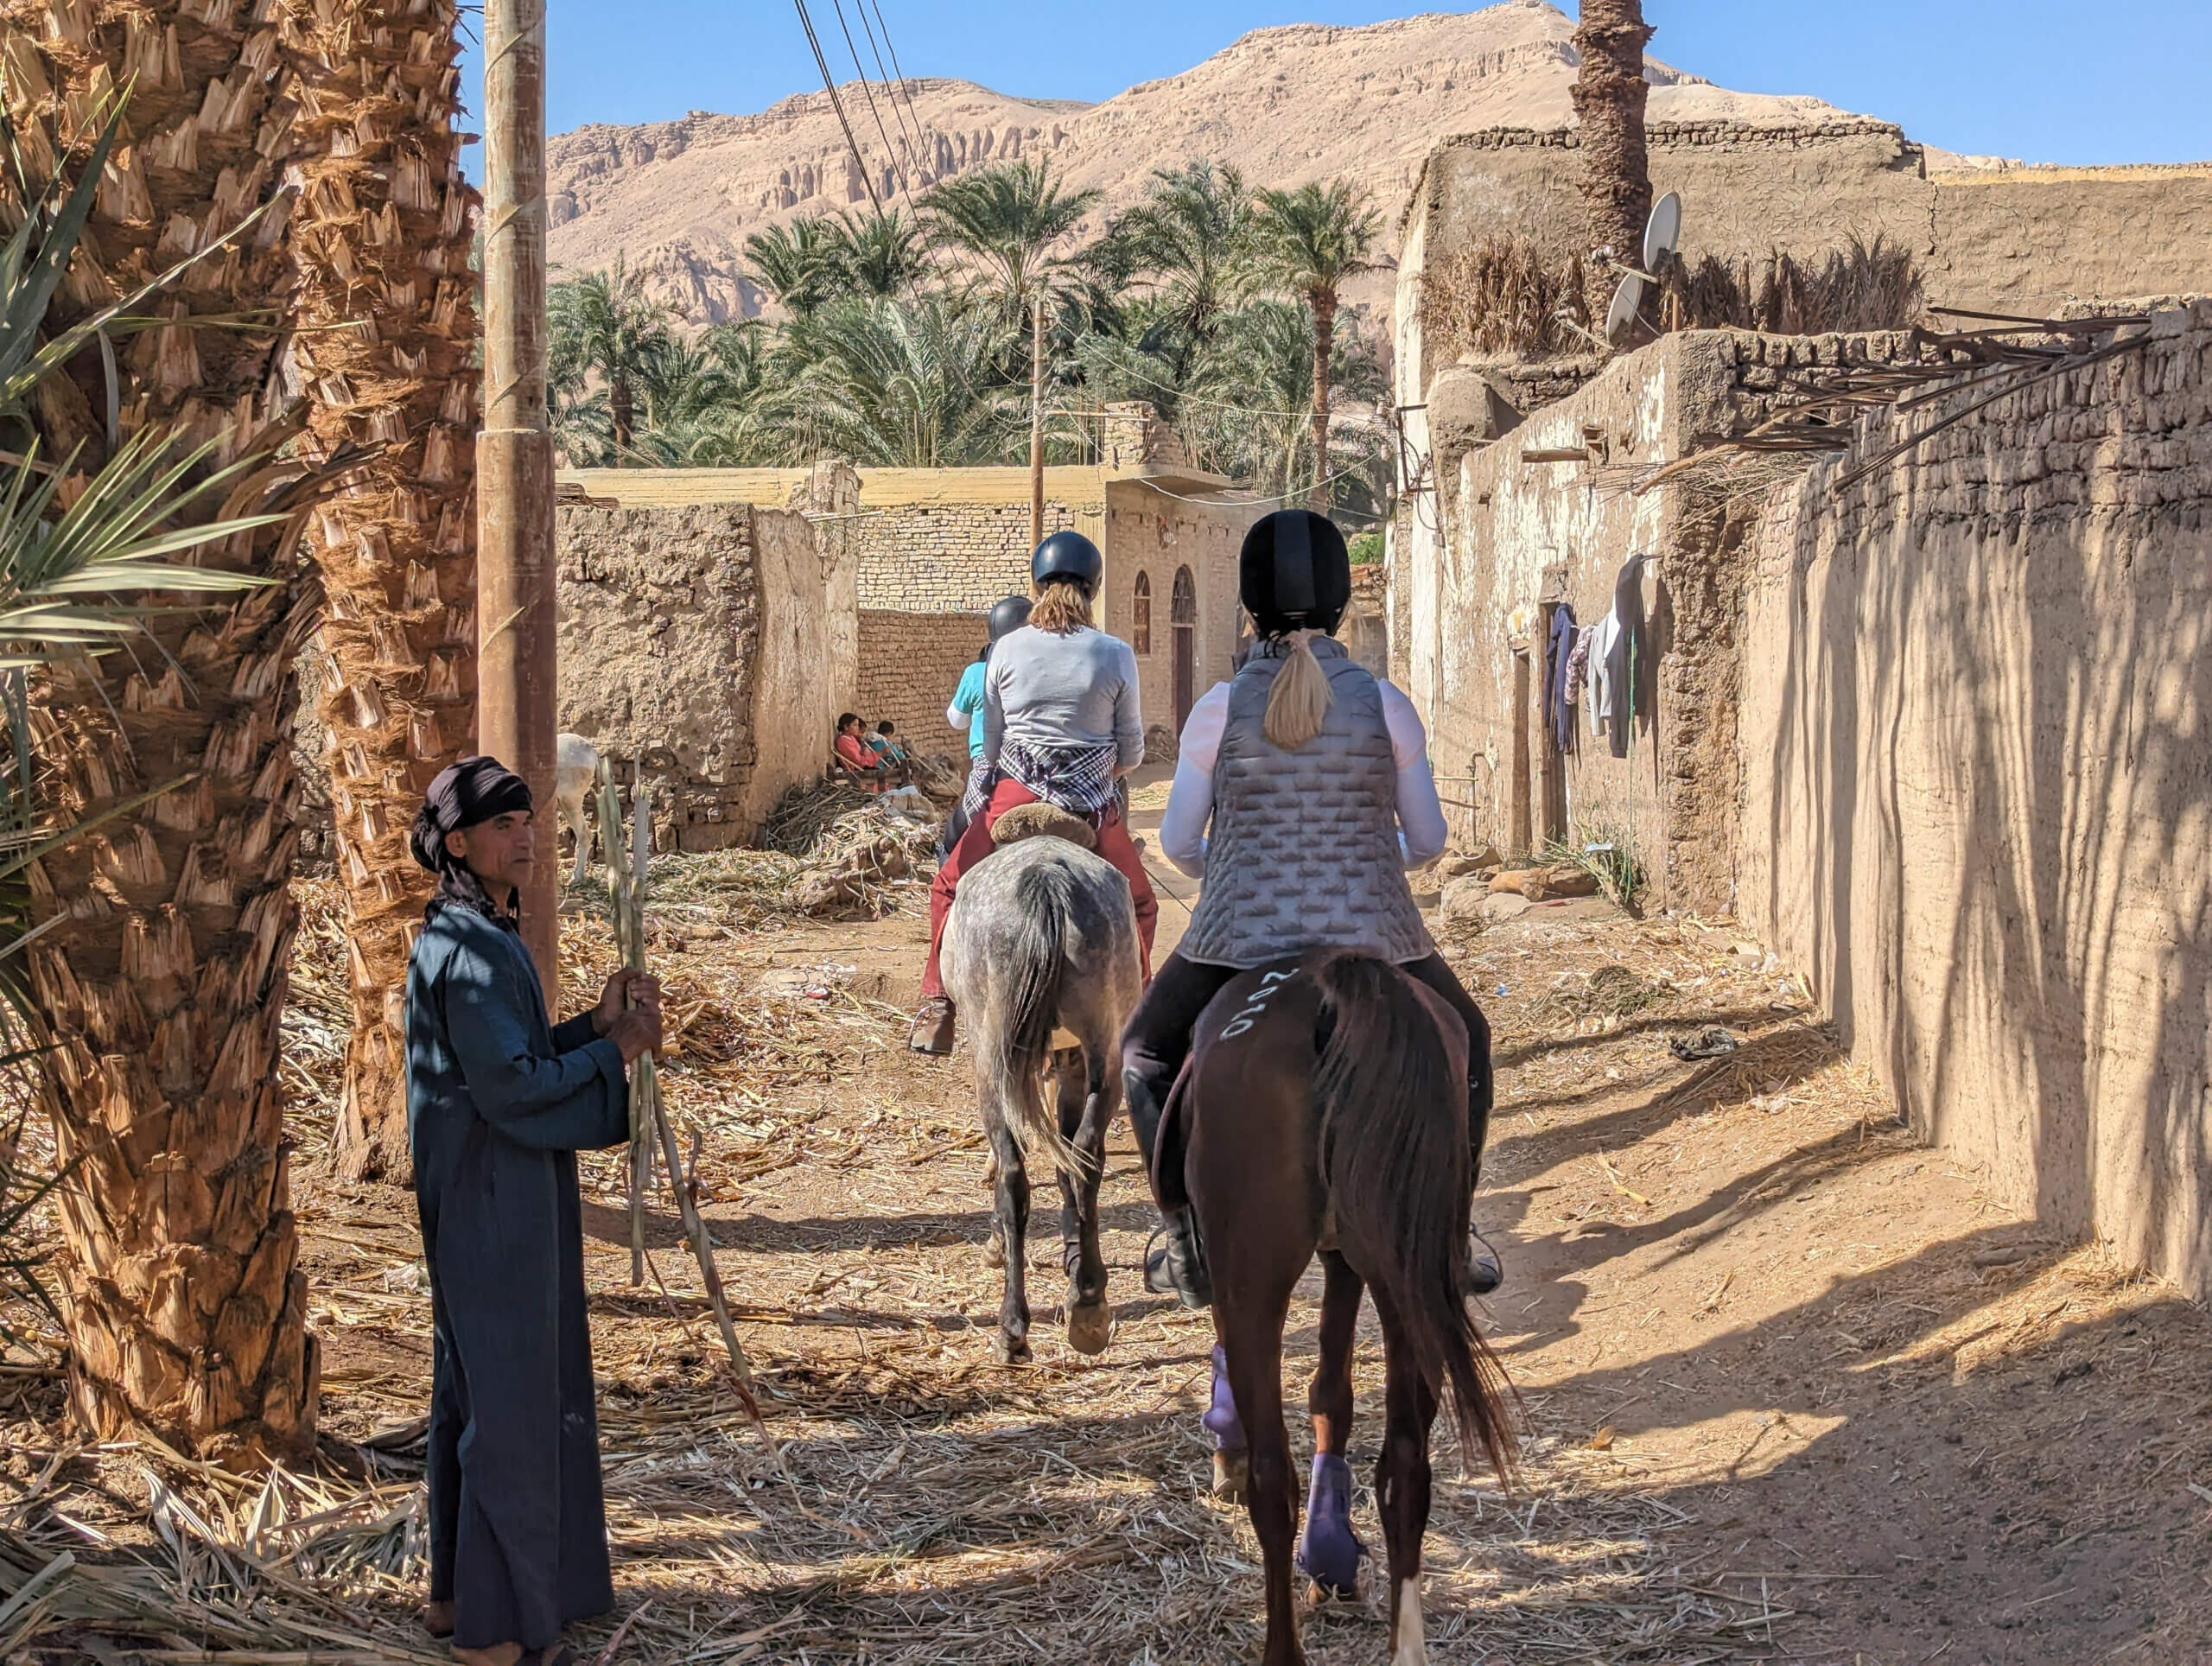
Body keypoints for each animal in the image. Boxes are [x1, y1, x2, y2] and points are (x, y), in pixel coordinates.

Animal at [938, 804, 1141, 1363]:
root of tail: (1047, 880)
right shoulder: (1069, 1063)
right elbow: (1067, 1159)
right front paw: (1075, 1257)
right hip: (1101, 1052)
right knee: (1085, 1155)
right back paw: (1088, 1305)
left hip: (991, 1061)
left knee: (1013, 1172)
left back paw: (1013, 1326)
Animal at [1176, 946, 1522, 1663]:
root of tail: (1333, 985)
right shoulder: (1346, 1259)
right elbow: (1331, 1395)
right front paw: (1333, 1558)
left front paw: (1227, 1450)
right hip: (1406, 1273)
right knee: (1406, 1467)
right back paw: (1407, 1646)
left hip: (1255, 1278)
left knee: (1274, 1480)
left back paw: (1282, 1648)